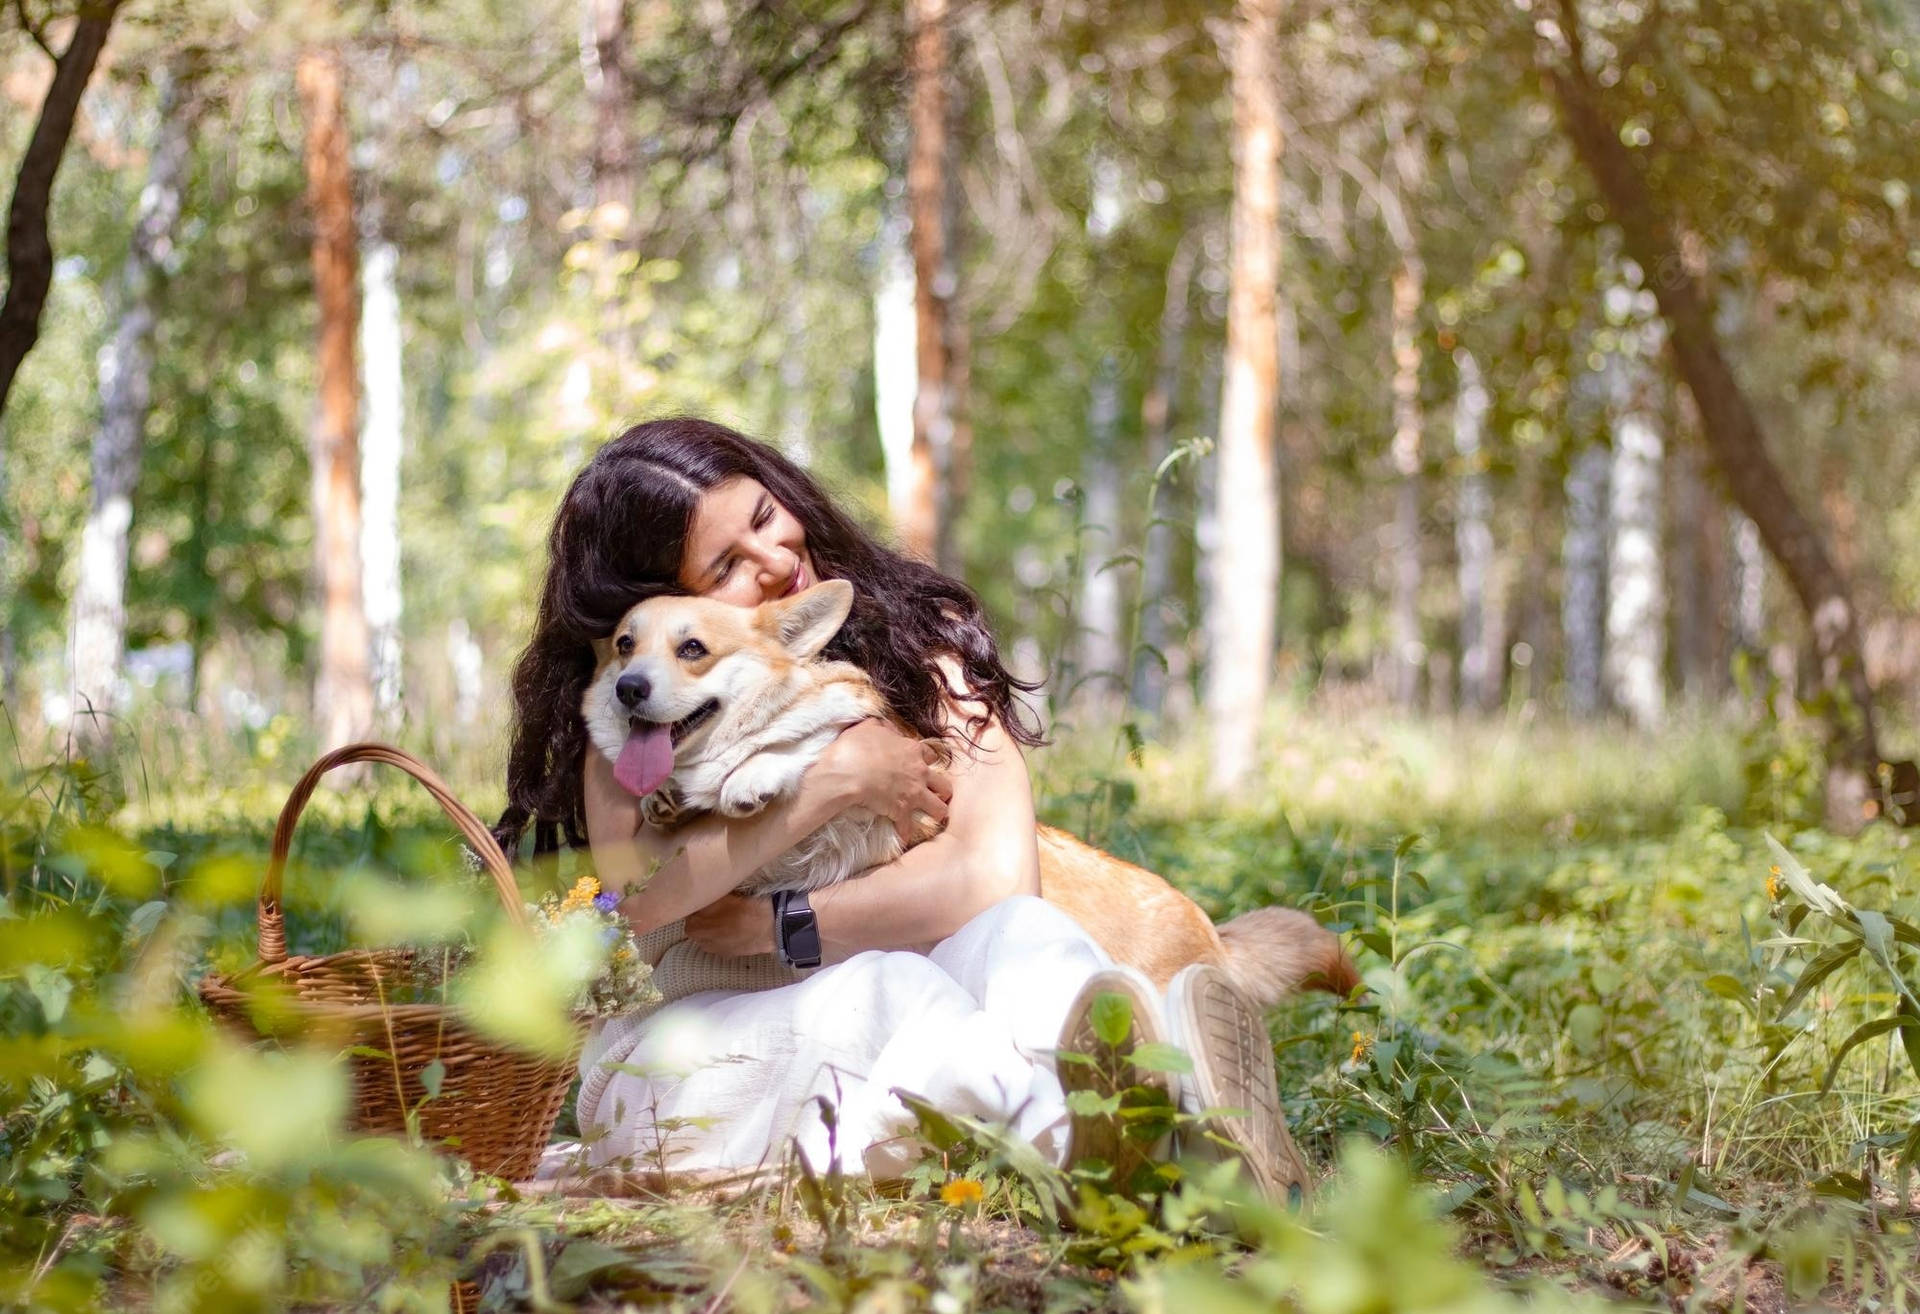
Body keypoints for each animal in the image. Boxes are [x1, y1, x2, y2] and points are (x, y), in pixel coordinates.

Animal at [576, 580, 1359, 998]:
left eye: (693, 649)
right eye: (624, 645)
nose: (627, 689)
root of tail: (1211, 931)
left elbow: (809, 739)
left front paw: (754, 773)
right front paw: (672, 799)